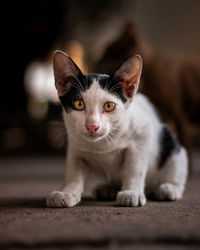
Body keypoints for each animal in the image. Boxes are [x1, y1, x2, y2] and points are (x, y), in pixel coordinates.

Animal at [46, 50, 188, 207]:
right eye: (79, 104)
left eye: (109, 106)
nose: (92, 126)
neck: (102, 144)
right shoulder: (76, 147)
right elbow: (74, 172)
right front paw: (67, 192)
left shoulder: (142, 134)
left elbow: (134, 168)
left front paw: (132, 192)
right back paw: (108, 189)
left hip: (172, 148)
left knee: (175, 171)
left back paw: (169, 188)